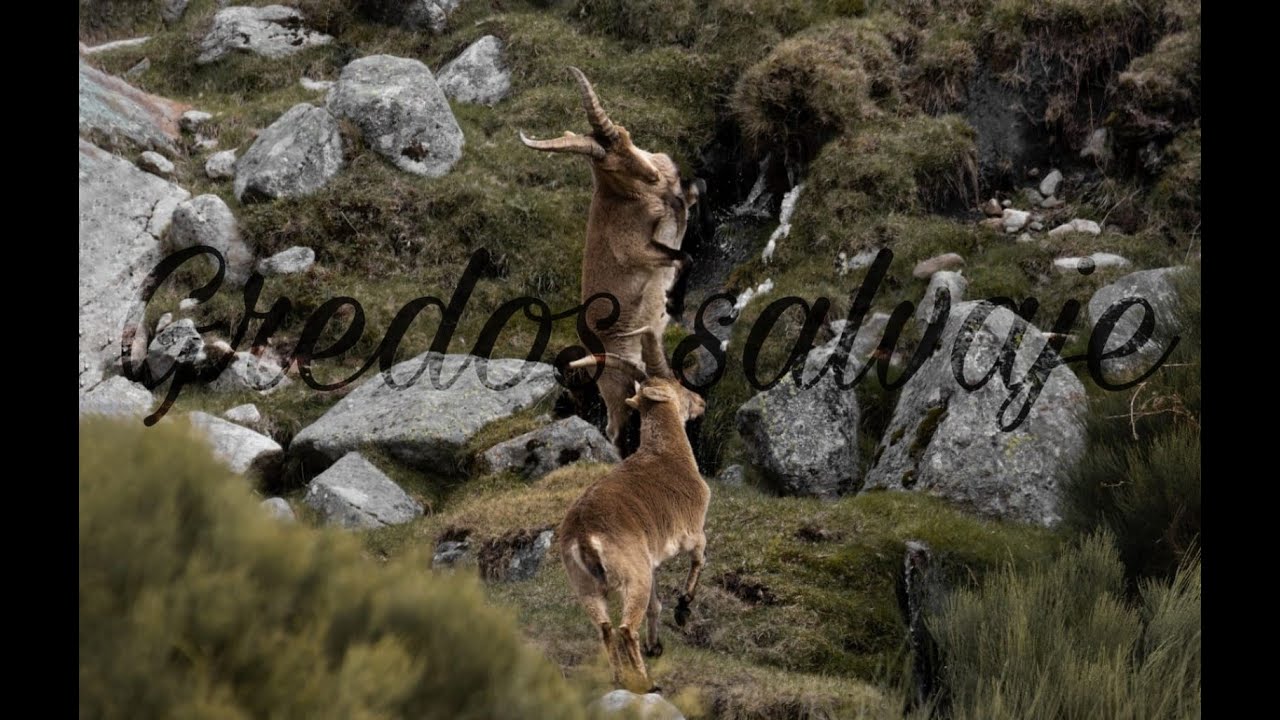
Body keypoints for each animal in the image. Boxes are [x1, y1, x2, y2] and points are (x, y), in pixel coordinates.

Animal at [520, 67, 703, 456]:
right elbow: (684, 257)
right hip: (616, 381)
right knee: (615, 428)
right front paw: (673, 303)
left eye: (626, 135)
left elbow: (695, 195)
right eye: (609, 165)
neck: (631, 195)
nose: (652, 175)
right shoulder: (636, 249)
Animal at [558, 328, 709, 693]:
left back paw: (618, 677)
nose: (701, 402)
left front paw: (657, 645)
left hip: (587, 585)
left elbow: (656, 604)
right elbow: (700, 554)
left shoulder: (651, 560)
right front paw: (683, 608)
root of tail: (584, 537)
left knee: (605, 628)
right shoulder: (691, 530)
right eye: (679, 387)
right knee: (626, 628)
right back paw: (646, 682)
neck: (666, 452)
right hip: (632, 575)